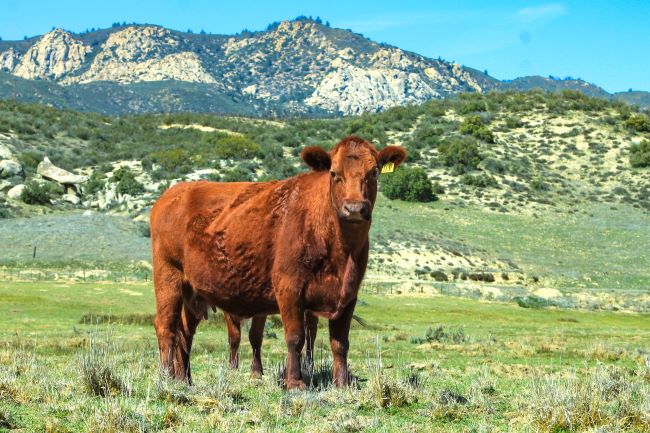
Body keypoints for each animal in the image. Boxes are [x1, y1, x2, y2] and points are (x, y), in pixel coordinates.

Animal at [150, 135, 406, 389]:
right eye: (334, 173)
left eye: (374, 172)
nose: (354, 208)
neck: (340, 252)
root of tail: (175, 191)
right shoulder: (289, 288)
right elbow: (295, 337)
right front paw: (295, 381)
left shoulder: (349, 294)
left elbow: (340, 342)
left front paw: (342, 382)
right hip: (168, 276)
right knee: (166, 327)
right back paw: (166, 377)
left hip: (193, 292)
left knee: (185, 332)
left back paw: (184, 379)